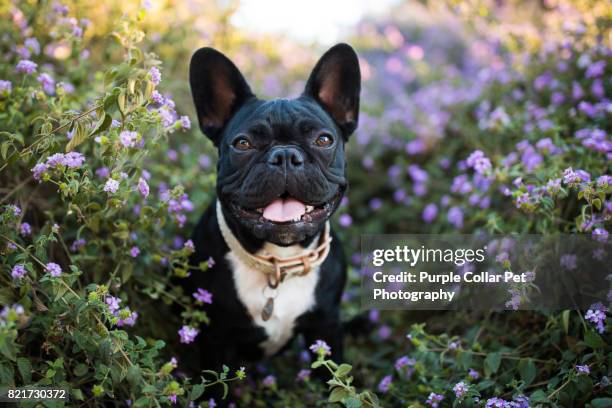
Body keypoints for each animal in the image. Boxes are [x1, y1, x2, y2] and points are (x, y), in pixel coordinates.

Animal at [184, 44, 360, 386]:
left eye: (323, 140)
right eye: (243, 143)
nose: (286, 155)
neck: (278, 262)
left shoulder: (327, 326)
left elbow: (336, 383)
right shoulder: (217, 338)